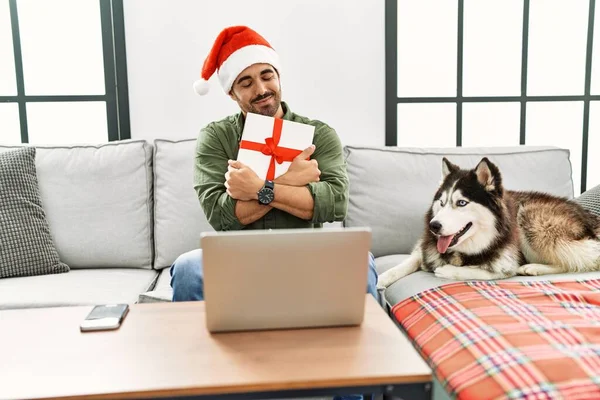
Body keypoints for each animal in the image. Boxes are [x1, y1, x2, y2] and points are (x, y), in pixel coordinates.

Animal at [378, 157, 600, 288]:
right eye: (441, 203)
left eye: (461, 202)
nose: (434, 226)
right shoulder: (424, 248)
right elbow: (406, 262)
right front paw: (380, 279)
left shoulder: (506, 264)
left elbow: (483, 271)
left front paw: (447, 269)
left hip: (531, 219)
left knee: (579, 260)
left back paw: (534, 267)